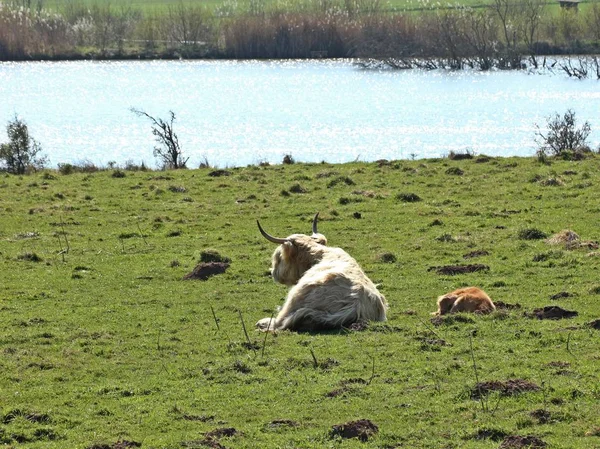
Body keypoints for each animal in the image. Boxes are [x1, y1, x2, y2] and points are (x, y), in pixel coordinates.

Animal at [254, 214, 386, 332]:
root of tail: (356, 305)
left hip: (296, 297)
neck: (319, 256)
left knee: (278, 322)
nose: (273, 273)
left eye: (280, 257)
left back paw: (262, 322)